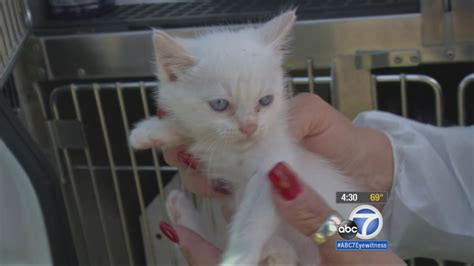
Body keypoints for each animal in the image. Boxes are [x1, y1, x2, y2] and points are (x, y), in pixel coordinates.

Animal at [130, 10, 360, 266]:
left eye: (266, 100)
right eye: (220, 104)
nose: (250, 127)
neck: (235, 153)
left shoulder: (275, 165)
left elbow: (252, 219)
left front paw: (238, 257)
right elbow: (193, 131)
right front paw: (150, 131)